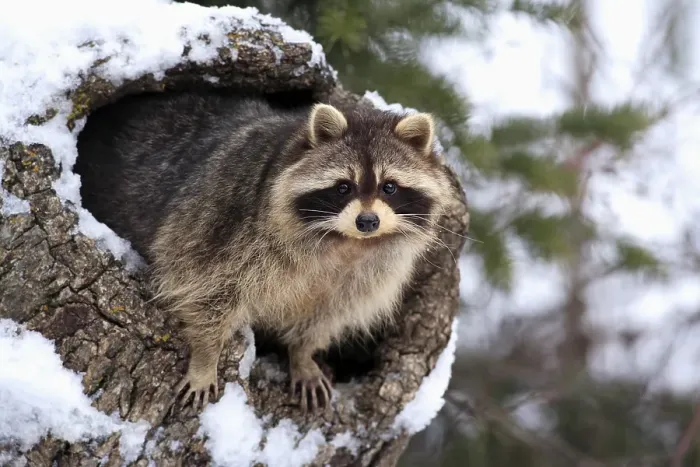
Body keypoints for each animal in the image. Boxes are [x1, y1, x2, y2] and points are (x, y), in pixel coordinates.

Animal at [75, 90, 453, 413]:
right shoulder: (225, 218)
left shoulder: (369, 273)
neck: (344, 241)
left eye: (389, 187)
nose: (368, 221)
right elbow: (203, 286)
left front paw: (302, 354)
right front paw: (206, 357)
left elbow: (328, 313)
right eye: (344, 187)